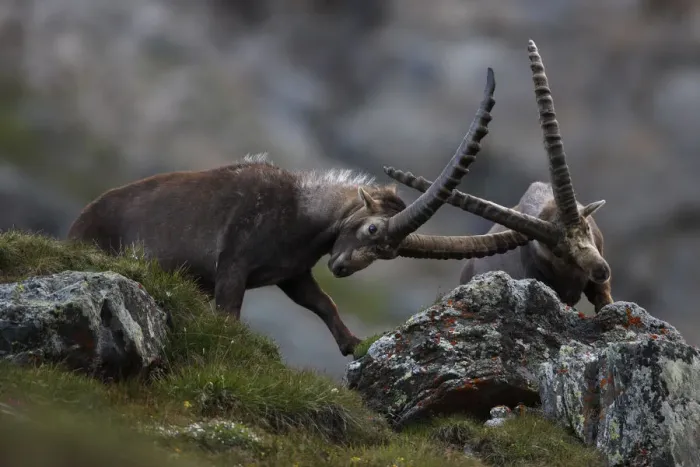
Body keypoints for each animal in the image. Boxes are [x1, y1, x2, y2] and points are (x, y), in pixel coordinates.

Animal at [67, 68, 531, 356]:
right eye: (372, 229)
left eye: (388, 252)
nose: (341, 267)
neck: (303, 212)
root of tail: (79, 222)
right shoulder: (233, 263)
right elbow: (230, 310)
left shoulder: (292, 273)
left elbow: (321, 302)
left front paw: (353, 345)